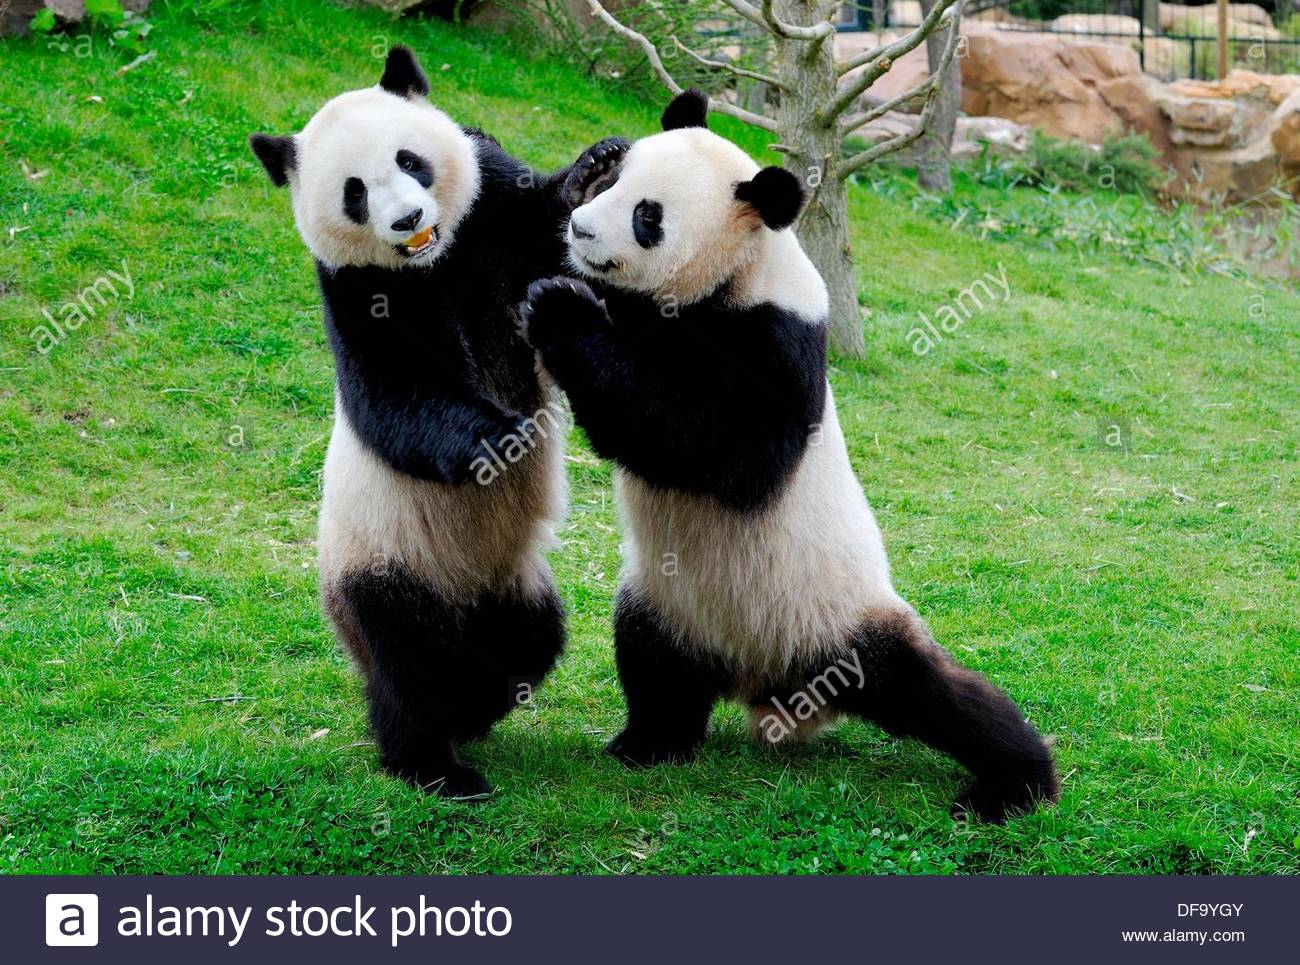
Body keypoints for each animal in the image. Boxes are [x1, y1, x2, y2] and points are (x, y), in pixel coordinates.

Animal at [249, 47, 627, 799]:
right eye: (355, 192)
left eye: (411, 160)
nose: (407, 219)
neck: (436, 259)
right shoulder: (357, 288)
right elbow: (394, 394)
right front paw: (501, 438)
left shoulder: (493, 208)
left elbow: (550, 240)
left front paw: (596, 171)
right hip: (382, 557)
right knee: (409, 661)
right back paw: (432, 761)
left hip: (513, 581)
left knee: (528, 638)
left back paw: (472, 708)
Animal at [520, 90, 1060, 822]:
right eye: (615, 183)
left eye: (647, 216)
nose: (581, 229)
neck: (730, 274)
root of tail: (773, 683)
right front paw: (578, 176)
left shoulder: (778, 339)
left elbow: (719, 450)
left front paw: (560, 311)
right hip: (669, 601)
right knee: (653, 666)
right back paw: (648, 744)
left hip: (842, 620)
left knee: (941, 696)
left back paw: (1015, 783)